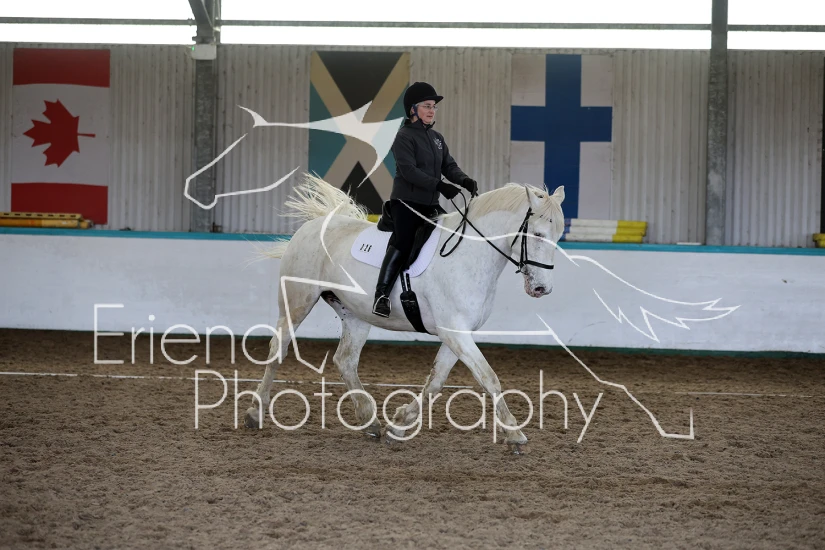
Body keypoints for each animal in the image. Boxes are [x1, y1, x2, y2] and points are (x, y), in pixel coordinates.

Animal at [245, 174, 565, 453]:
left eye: (559, 235)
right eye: (537, 234)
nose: (542, 288)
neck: (469, 255)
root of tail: (314, 225)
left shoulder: (458, 333)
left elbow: (435, 382)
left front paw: (399, 425)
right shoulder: (455, 332)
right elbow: (489, 378)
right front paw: (515, 434)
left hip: (355, 316)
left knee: (345, 360)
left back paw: (370, 422)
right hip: (297, 302)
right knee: (278, 349)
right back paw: (255, 413)